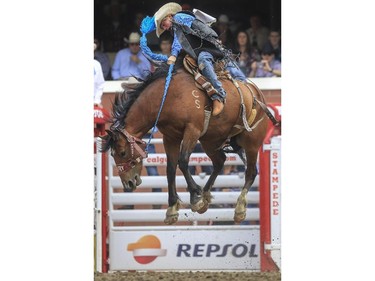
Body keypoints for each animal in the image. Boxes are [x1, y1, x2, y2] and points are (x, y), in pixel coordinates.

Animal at [100, 58, 280, 224]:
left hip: (251, 142)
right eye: (113, 155)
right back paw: (206, 196)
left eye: (123, 152)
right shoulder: (170, 137)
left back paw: (239, 208)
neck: (166, 98)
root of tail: (258, 95)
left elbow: (183, 161)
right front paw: (173, 208)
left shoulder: (192, 130)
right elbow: (171, 168)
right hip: (210, 141)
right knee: (219, 161)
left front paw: (194, 197)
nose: (128, 184)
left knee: (251, 172)